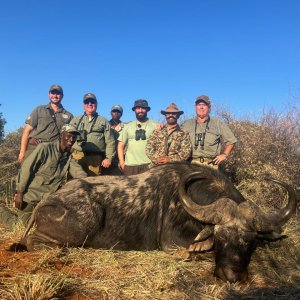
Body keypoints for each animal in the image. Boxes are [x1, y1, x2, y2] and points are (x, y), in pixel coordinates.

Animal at [18, 163, 298, 282]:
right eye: (219, 238)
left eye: (250, 242)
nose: (232, 276)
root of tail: (47, 201)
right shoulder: (173, 243)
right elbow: (189, 253)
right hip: (82, 226)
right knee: (33, 241)